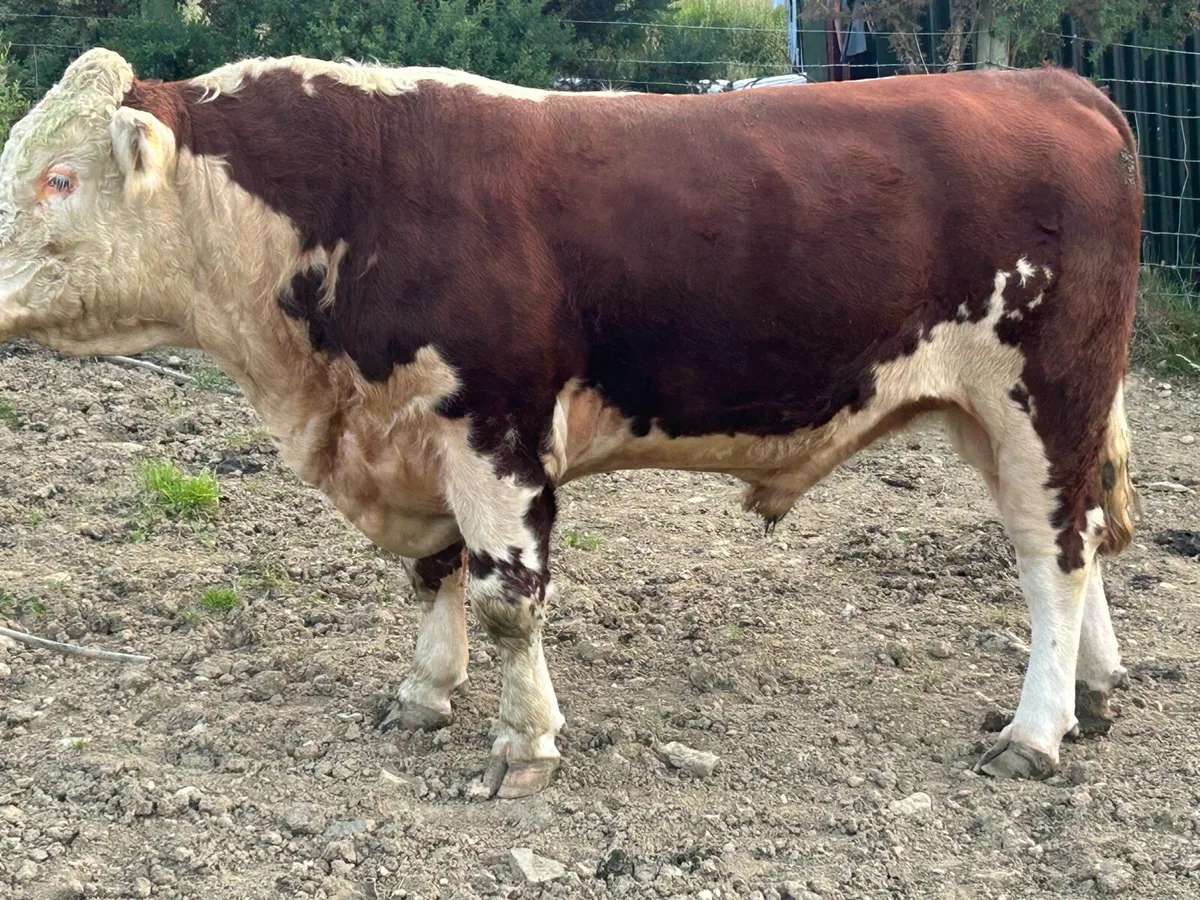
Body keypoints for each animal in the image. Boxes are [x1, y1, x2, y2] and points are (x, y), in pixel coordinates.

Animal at [0, 49, 1142, 799]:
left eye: (60, 178)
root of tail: (1050, 84)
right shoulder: (415, 437)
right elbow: (434, 574)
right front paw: (423, 693)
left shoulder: (496, 428)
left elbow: (507, 602)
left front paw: (524, 745)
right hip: (997, 415)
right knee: (1078, 536)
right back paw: (1094, 691)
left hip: (1045, 392)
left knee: (1053, 555)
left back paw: (1037, 731)